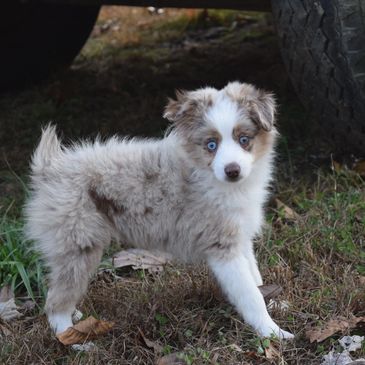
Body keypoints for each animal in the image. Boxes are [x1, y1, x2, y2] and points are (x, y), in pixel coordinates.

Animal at [24, 82, 292, 338]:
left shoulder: (240, 237)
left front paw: (275, 304)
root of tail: (51, 169)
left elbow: (255, 278)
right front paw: (272, 332)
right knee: (55, 303)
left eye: (244, 140)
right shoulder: (223, 247)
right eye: (211, 144)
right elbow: (249, 294)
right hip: (78, 246)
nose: (232, 170)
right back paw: (73, 339)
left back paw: (77, 318)